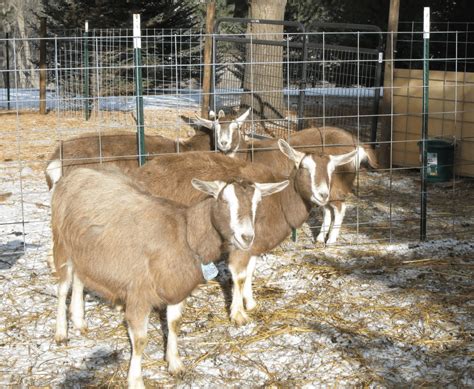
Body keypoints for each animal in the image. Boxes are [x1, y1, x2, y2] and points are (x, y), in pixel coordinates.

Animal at [52, 166, 288, 384]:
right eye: (224, 201)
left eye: (257, 203)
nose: (246, 237)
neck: (186, 235)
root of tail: (79, 171)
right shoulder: (139, 294)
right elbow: (140, 340)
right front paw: (136, 380)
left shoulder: (177, 289)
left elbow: (174, 323)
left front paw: (175, 364)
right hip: (61, 244)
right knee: (63, 288)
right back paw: (61, 333)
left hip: (84, 253)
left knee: (79, 279)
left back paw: (79, 320)